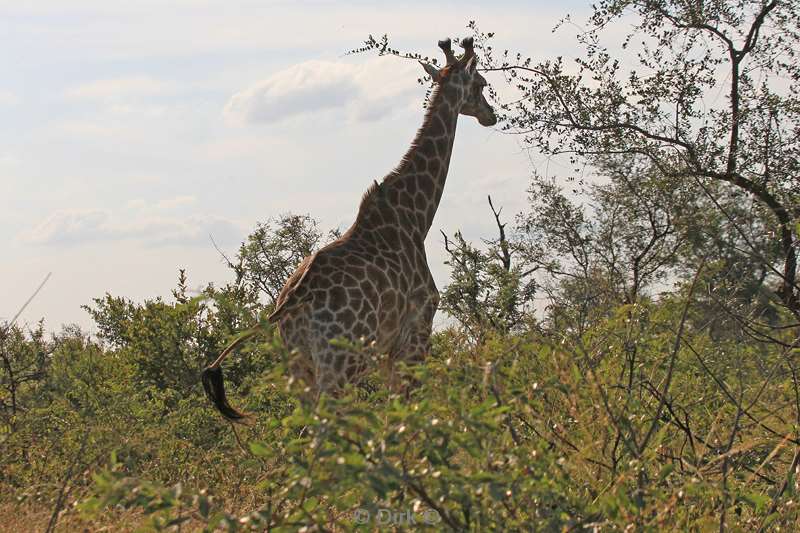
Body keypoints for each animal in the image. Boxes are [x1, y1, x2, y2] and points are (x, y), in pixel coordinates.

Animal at [202, 37, 494, 420]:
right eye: (481, 84)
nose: (492, 115)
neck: (416, 218)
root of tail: (294, 300)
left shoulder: (388, 348)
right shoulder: (415, 333)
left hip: (301, 366)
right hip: (342, 362)